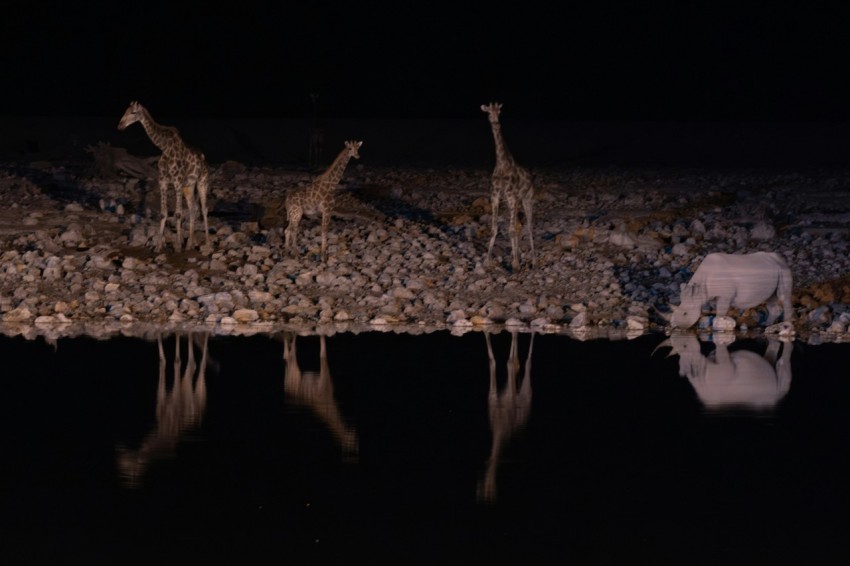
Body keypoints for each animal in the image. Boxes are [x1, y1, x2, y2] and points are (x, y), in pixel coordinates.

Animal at [117, 101, 211, 252]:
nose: (120, 125)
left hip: (202, 182)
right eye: (126, 111)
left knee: (204, 209)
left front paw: (177, 246)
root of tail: (205, 161)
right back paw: (190, 244)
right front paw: (158, 246)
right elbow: (163, 213)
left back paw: (207, 243)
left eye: (133, 112)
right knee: (193, 208)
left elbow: (178, 214)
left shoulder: (177, 181)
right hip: (188, 186)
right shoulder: (163, 181)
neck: (164, 147)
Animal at [480, 102, 535, 270]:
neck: (502, 164)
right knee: (517, 226)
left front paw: (516, 264)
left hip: (527, 199)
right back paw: (514, 256)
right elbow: (494, 229)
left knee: (529, 226)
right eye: (488, 112)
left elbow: (511, 230)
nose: (495, 122)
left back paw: (533, 260)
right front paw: (487, 261)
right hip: (515, 202)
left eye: (499, 111)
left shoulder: (511, 197)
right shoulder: (496, 196)